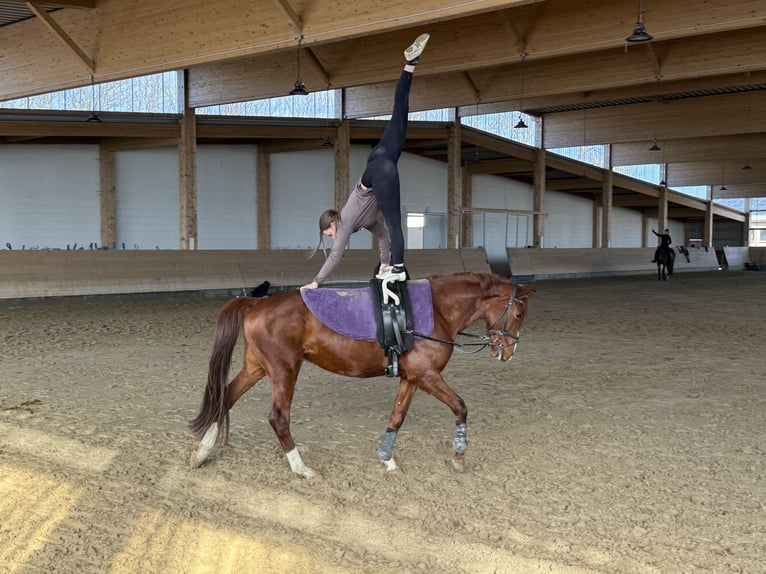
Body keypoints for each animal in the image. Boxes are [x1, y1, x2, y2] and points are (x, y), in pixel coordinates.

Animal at [189, 272, 534, 478]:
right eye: (518, 314)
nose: (507, 352)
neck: (435, 310)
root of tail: (257, 302)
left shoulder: (412, 377)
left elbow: (397, 415)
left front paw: (387, 458)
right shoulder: (427, 375)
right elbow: (460, 406)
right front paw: (459, 455)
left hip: (257, 367)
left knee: (226, 399)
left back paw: (201, 454)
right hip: (284, 370)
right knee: (278, 417)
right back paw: (301, 468)